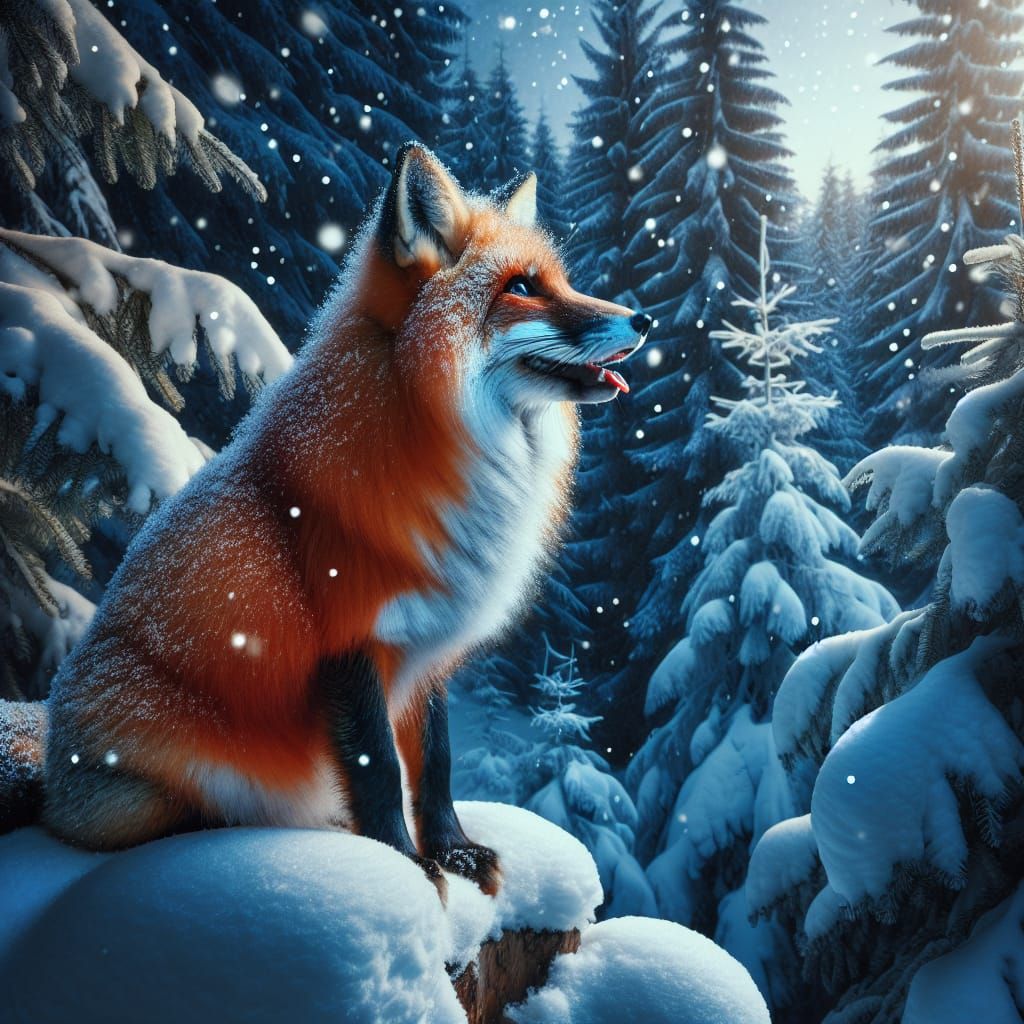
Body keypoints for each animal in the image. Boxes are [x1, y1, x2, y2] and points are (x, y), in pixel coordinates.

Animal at [0, 143, 650, 899]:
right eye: (523, 287)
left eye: (562, 282)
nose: (642, 321)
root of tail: (48, 750)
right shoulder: (348, 641)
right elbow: (379, 770)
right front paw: (407, 868)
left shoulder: (426, 647)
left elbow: (436, 765)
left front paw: (454, 852)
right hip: (160, 784)